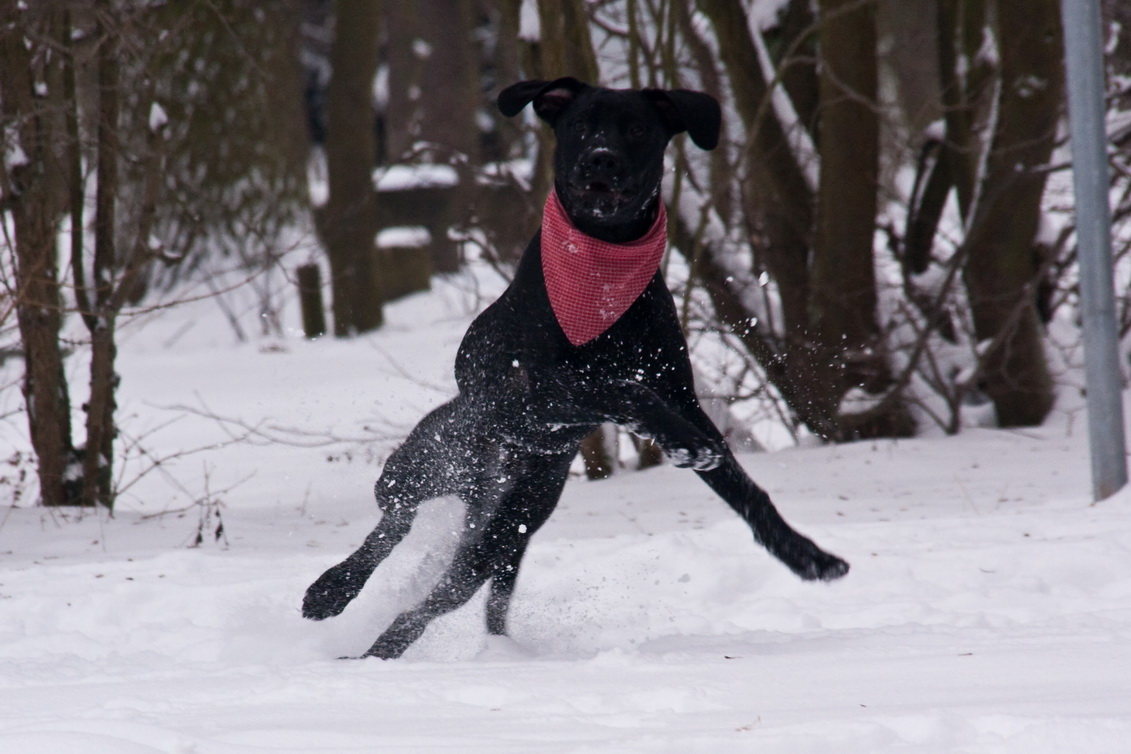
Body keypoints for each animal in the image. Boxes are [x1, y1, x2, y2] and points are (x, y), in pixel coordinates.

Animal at [300, 78, 850, 660]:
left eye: (636, 128)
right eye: (582, 125)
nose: (601, 158)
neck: (603, 268)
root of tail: (490, 479)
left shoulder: (680, 395)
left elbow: (740, 485)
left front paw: (805, 554)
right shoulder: (538, 392)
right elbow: (623, 392)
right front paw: (681, 442)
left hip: (506, 528)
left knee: (440, 595)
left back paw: (379, 653)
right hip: (429, 460)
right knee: (392, 522)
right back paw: (333, 592)